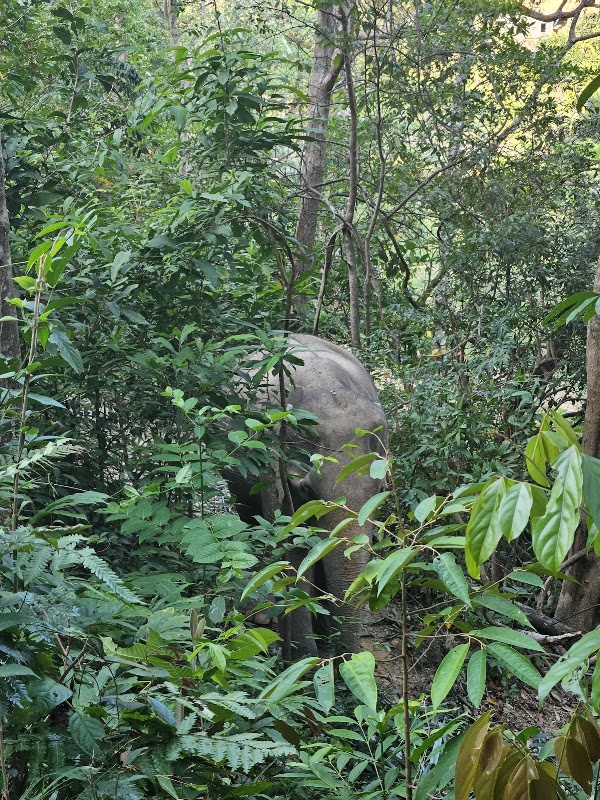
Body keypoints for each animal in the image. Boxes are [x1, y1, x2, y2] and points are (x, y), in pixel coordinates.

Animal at [227, 333, 388, 657]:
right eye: (306, 490)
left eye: (379, 491)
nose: (343, 658)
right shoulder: (272, 466)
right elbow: (293, 549)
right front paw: (305, 662)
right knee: (249, 518)